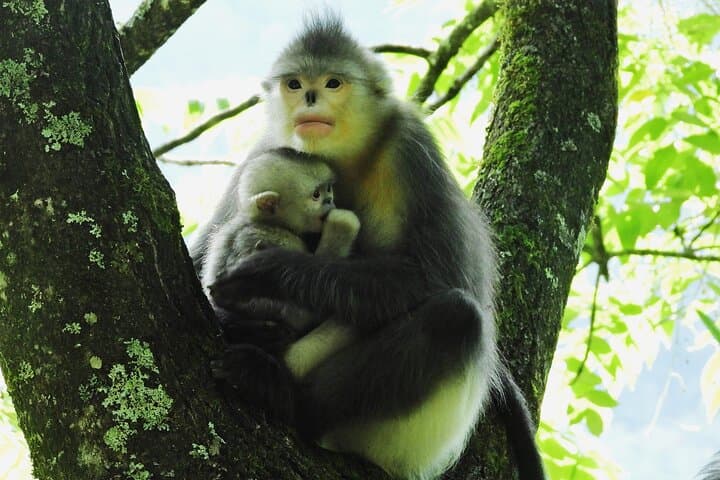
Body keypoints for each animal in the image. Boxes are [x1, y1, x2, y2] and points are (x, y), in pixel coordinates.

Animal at [200, 14, 545, 480]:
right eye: (294, 84)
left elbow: (437, 279)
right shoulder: (266, 147)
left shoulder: (412, 149)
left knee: (455, 317)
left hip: (405, 440)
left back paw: (282, 393)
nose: (309, 97)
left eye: (332, 83)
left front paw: (269, 272)